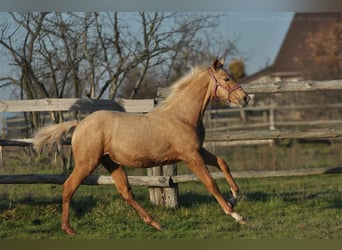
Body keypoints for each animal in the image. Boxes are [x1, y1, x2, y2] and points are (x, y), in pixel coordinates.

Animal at [33, 58, 250, 234]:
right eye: (226, 79)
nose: (246, 98)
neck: (182, 116)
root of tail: (79, 125)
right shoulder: (191, 156)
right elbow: (210, 183)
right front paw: (236, 215)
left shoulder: (198, 151)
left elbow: (222, 162)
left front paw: (234, 196)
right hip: (87, 163)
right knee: (69, 187)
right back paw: (68, 229)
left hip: (112, 163)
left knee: (126, 192)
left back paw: (157, 224)